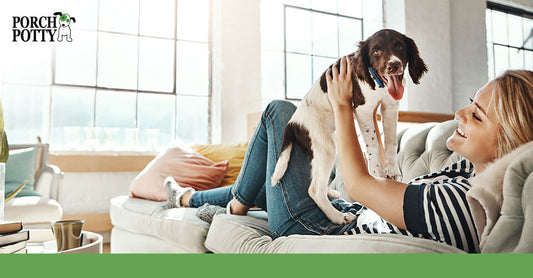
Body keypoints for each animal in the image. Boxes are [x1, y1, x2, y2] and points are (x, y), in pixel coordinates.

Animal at [272, 28, 426, 224]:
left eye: (399, 46)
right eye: (376, 52)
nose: (393, 65)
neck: (379, 84)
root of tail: (293, 123)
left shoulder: (390, 107)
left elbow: (390, 142)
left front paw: (392, 171)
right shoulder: (363, 110)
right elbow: (373, 146)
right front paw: (377, 174)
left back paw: (331, 193)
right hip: (326, 146)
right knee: (314, 190)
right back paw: (338, 216)